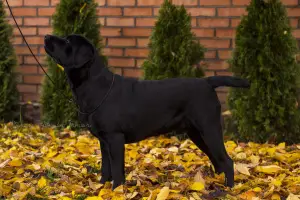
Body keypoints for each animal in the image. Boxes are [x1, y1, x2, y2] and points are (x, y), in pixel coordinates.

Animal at [44, 33, 251, 190]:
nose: (46, 36)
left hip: (209, 128)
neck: (94, 86)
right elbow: (105, 168)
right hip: (196, 133)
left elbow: (117, 170)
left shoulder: (115, 137)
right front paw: (101, 187)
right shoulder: (103, 140)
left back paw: (228, 189)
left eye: (68, 42)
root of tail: (207, 82)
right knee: (218, 160)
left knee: (227, 161)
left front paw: (116, 190)